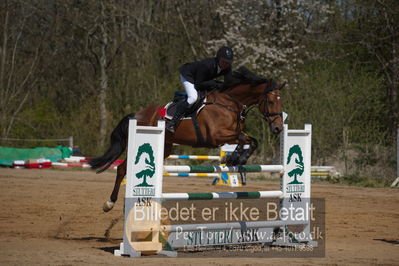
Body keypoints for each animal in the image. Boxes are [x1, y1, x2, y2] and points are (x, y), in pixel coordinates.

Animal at [90, 67, 284, 212]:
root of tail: (136, 114)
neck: (230, 103)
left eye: (280, 102)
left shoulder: (234, 134)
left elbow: (251, 141)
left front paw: (235, 158)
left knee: (125, 168)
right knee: (122, 169)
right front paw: (235, 158)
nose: (278, 128)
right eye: (271, 102)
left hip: (165, 148)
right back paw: (109, 203)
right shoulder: (216, 136)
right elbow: (243, 140)